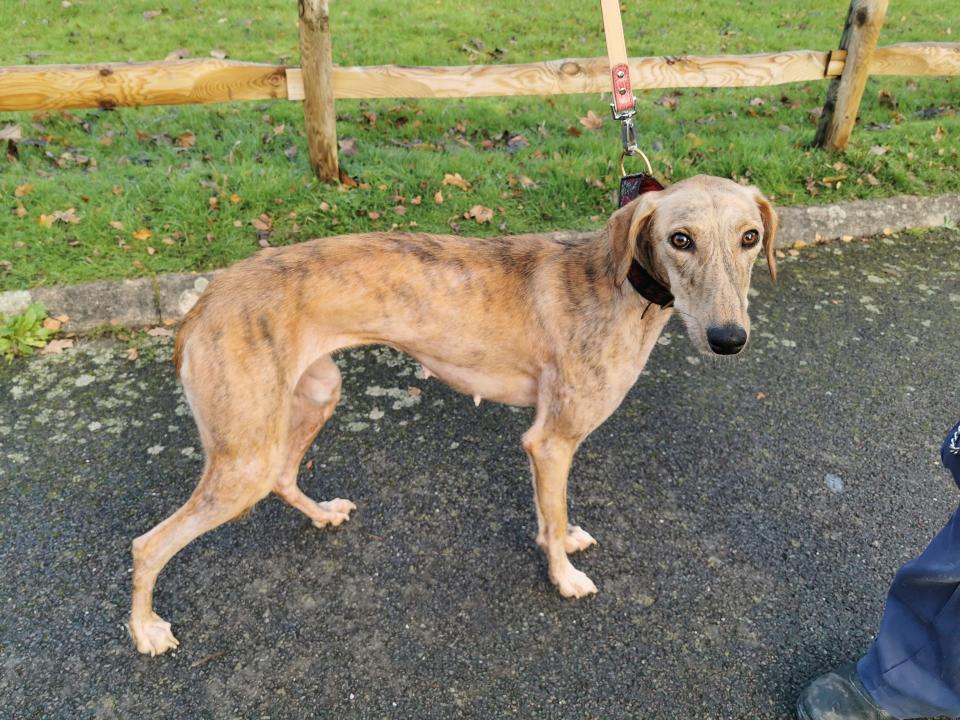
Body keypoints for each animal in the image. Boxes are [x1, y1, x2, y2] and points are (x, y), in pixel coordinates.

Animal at [127, 173, 776, 652]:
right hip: (243, 458)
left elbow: (553, 513)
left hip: (313, 396)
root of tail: (202, 304)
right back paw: (146, 631)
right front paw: (564, 578)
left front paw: (565, 537)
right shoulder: (551, 440)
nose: (728, 339)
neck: (616, 283)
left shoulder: (550, 446)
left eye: (749, 237)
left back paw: (323, 514)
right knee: (147, 545)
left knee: (285, 476)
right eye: (680, 239)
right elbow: (551, 515)